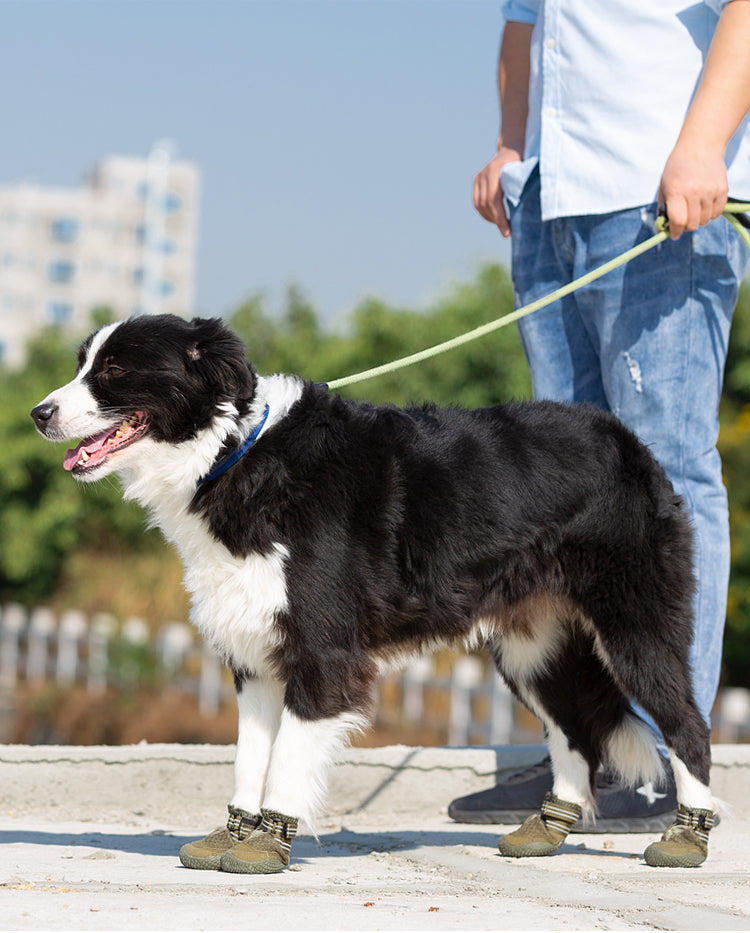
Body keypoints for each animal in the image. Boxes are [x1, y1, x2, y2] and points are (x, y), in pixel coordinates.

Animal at [32, 314, 716, 868]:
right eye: (82, 364)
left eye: (115, 370)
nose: (39, 414)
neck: (235, 455)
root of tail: (626, 442)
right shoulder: (256, 652)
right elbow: (250, 755)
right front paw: (233, 835)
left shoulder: (322, 652)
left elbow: (288, 758)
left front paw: (266, 846)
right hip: (531, 650)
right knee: (573, 732)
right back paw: (548, 829)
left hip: (634, 630)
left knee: (687, 725)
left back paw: (688, 837)